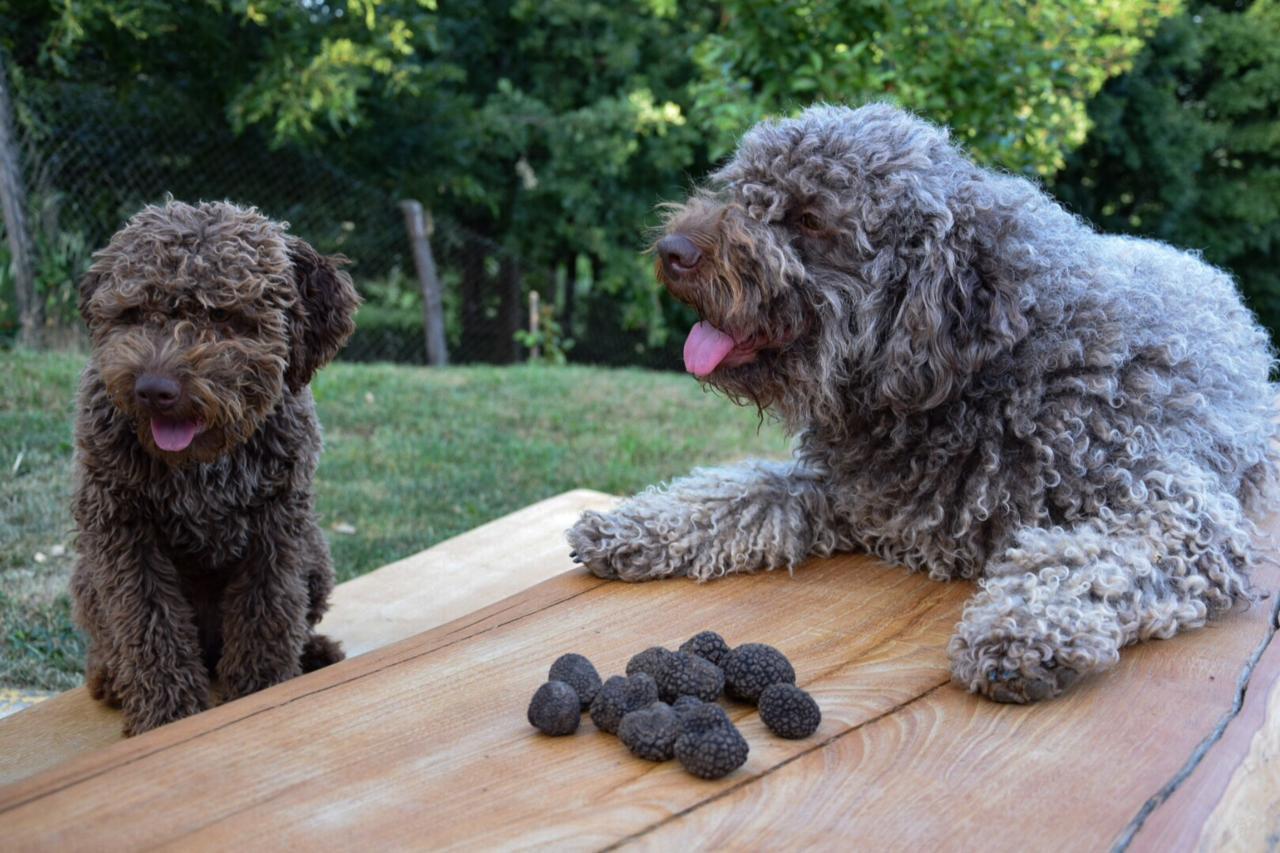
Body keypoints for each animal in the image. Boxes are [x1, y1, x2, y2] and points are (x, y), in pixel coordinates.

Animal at [70, 199, 360, 732]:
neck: (202, 463)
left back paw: (313, 653)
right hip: (86, 577)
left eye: (223, 314)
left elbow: (266, 615)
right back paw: (111, 680)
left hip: (315, 555)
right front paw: (166, 717)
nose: (153, 390)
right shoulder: (122, 530)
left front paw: (261, 690)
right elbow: (149, 625)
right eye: (134, 312)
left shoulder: (276, 527)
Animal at [570, 103, 1280, 701]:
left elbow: (1084, 559)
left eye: (809, 218)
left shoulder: (1174, 508)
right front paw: (632, 525)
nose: (672, 250)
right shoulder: (840, 490)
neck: (991, 372)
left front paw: (1022, 631)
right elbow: (733, 495)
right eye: (742, 190)